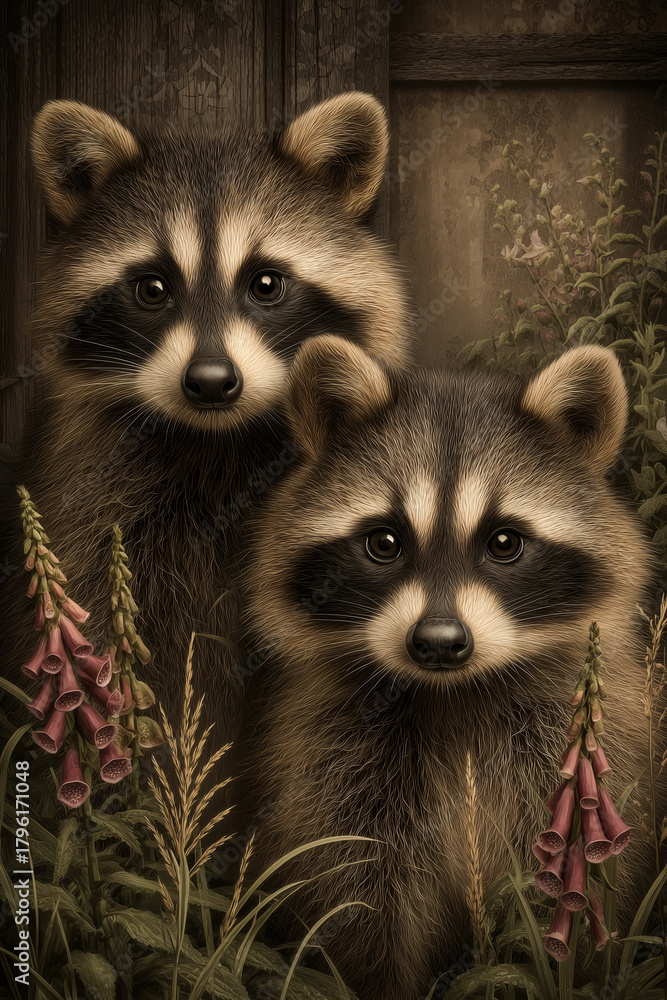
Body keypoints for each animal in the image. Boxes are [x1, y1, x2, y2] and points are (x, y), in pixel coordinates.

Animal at [239, 335, 656, 1000]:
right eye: (384, 542)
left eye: (505, 542)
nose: (437, 642)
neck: (452, 693)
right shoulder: (338, 765)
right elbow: (354, 899)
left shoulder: (570, 755)